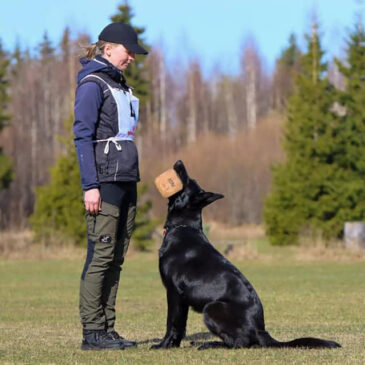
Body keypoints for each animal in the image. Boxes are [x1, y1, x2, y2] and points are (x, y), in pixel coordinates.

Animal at [150, 161, 338, 348]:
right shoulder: (181, 300)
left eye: (188, 180)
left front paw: (164, 345)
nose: (179, 162)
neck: (183, 226)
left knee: (239, 343)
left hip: (211, 308)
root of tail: (260, 330)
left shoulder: (174, 293)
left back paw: (211, 344)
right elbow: (180, 325)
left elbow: (172, 323)